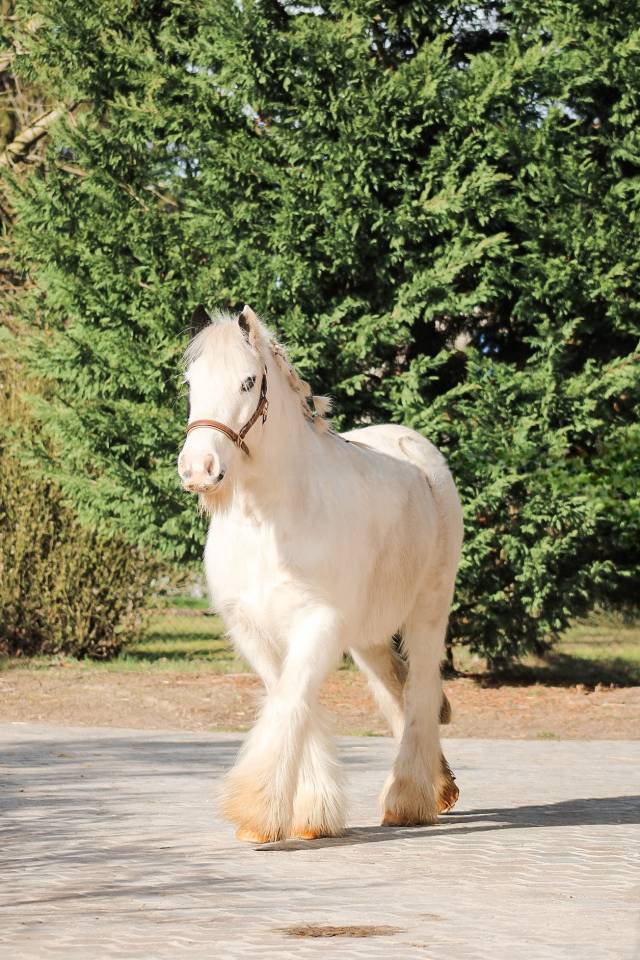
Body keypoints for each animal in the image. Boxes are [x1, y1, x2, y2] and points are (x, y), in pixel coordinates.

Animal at [178, 304, 464, 843]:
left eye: (248, 381)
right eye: (191, 381)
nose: (197, 469)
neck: (267, 522)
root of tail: (415, 449)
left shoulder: (320, 622)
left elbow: (292, 702)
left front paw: (256, 811)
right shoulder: (252, 629)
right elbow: (289, 701)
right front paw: (312, 812)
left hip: (427, 614)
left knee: (419, 691)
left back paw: (408, 799)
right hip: (369, 637)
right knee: (394, 692)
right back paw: (438, 786)